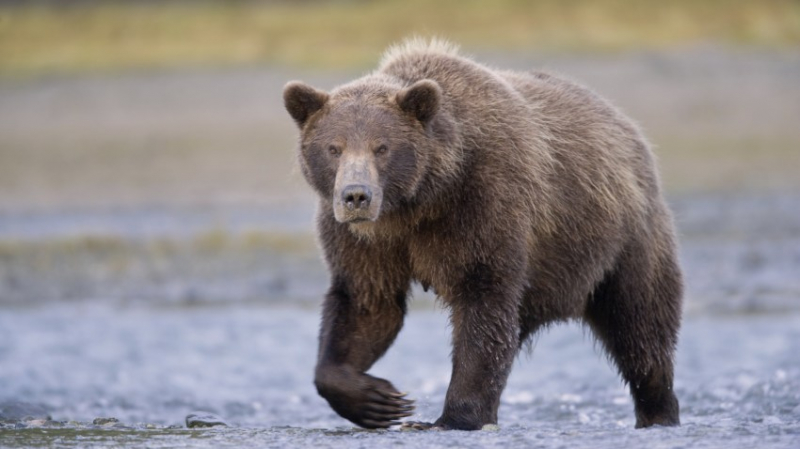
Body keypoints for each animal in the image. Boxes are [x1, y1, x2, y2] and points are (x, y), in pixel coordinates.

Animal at [282, 38, 680, 430]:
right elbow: (366, 303)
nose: (356, 196)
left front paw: (453, 417)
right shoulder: (364, 240)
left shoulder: (482, 205)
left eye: (382, 147)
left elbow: (483, 304)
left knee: (639, 324)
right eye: (334, 148)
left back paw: (659, 411)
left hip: (624, 239)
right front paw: (377, 400)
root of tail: (625, 124)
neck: (416, 204)